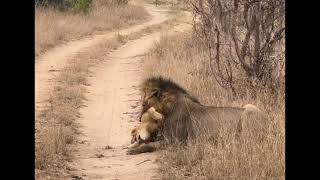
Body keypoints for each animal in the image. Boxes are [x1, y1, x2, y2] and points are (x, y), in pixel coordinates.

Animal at [127, 76, 268, 155]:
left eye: (144, 103)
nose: (139, 118)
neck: (167, 109)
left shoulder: (175, 142)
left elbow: (149, 145)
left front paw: (132, 150)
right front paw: (133, 144)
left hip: (249, 115)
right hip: (248, 105)